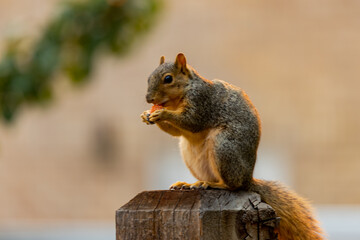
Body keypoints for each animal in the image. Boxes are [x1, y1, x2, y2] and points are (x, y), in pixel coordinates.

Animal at [141, 53, 326, 239]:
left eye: (168, 78)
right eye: (148, 77)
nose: (149, 99)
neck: (177, 99)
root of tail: (248, 179)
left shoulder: (202, 102)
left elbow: (191, 121)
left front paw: (162, 114)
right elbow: (176, 131)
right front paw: (146, 115)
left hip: (223, 146)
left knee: (233, 185)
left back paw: (213, 184)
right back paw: (189, 184)